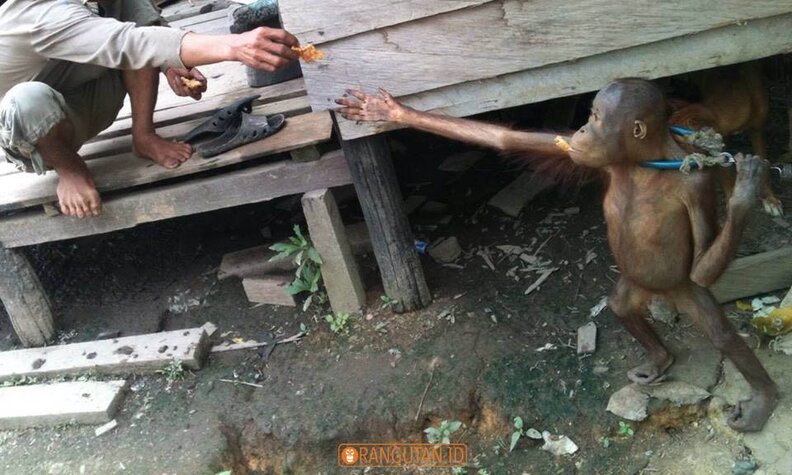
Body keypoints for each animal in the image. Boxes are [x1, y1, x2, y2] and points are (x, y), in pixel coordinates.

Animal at [336, 79, 779, 432]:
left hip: (683, 287)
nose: (582, 127)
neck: (642, 163)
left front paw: (745, 193)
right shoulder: (588, 155)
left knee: (720, 331)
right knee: (620, 305)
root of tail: (662, 294)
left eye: (597, 117)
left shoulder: (696, 188)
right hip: (635, 283)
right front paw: (388, 110)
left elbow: (703, 263)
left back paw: (763, 401)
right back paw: (659, 357)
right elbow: (506, 140)